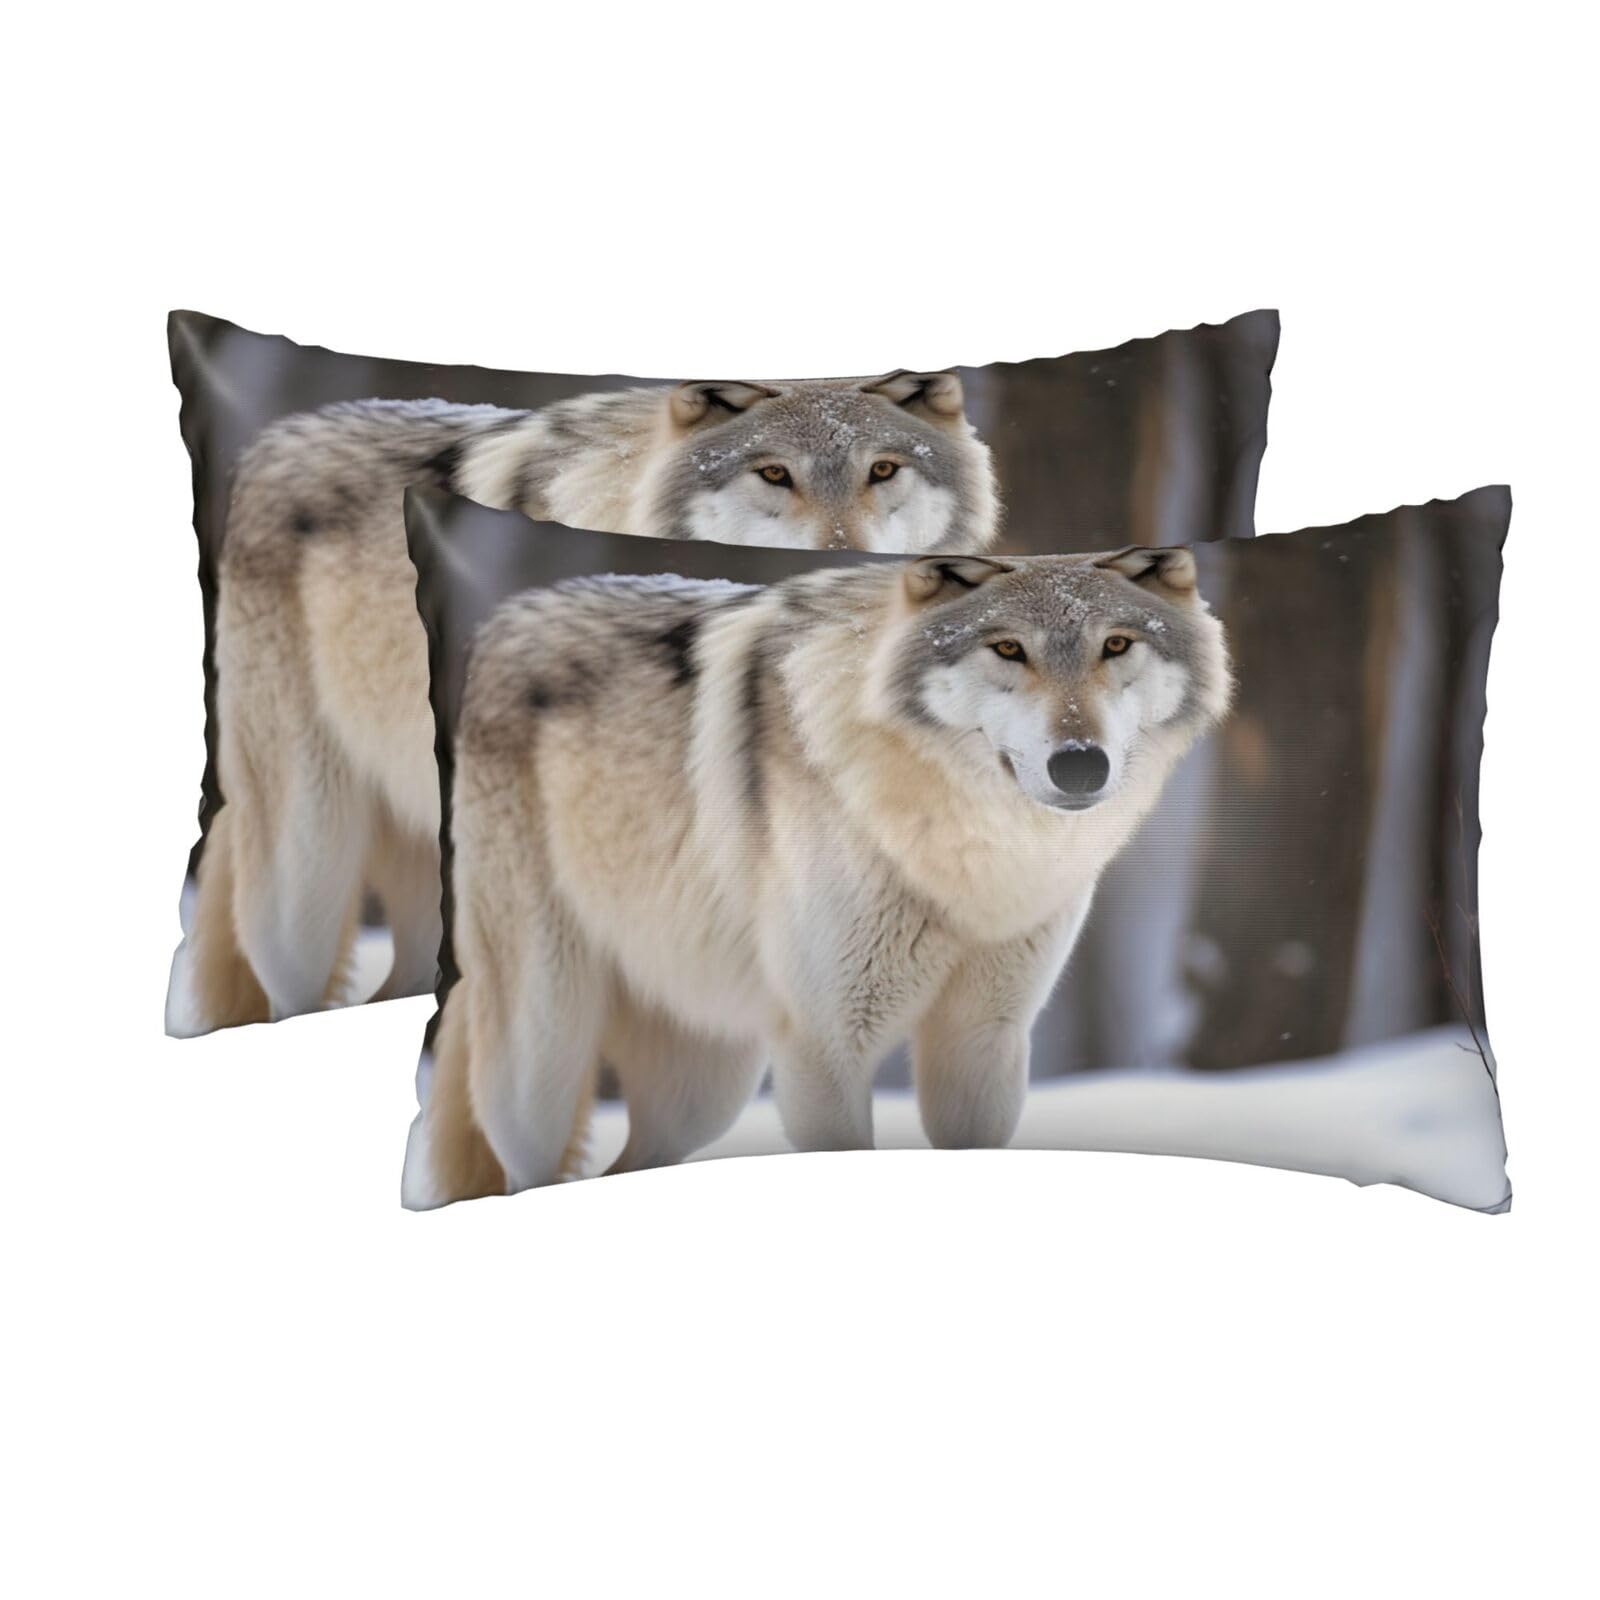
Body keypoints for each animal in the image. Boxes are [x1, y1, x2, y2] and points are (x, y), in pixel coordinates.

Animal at [402, 547, 1232, 1206]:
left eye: (1115, 645)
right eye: (1008, 649)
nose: (1080, 763)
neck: (965, 864)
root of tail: (500, 621)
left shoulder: (984, 1043)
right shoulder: (827, 1045)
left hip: (706, 1089)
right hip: (544, 1051)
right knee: (526, 1166)